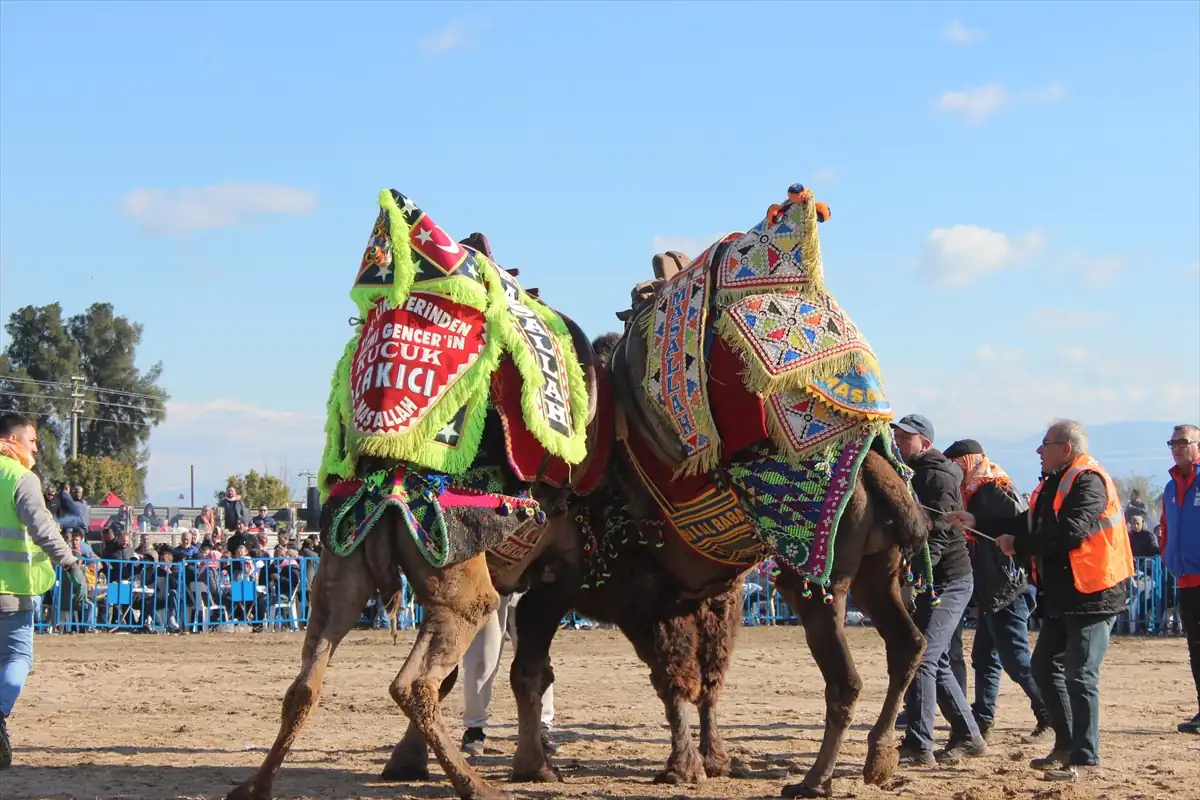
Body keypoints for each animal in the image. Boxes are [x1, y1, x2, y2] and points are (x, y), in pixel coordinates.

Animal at [228, 191, 614, 800]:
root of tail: (387, 487)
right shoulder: (555, 570)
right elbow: (523, 667)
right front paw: (533, 766)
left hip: (339, 574)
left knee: (304, 685)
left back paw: (255, 786)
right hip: (459, 585)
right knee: (413, 683)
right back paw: (475, 785)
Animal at [506, 183, 936, 800]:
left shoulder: (630, 593)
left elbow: (669, 680)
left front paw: (680, 765)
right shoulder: (709, 596)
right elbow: (705, 680)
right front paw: (714, 759)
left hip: (817, 582)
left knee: (847, 679)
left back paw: (814, 779)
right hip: (882, 573)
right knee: (907, 647)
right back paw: (877, 759)